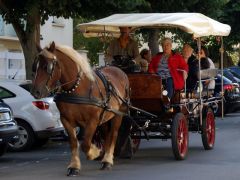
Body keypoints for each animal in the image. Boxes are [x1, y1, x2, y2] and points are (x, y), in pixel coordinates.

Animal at [31, 41, 130, 176]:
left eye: (48, 67)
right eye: (35, 66)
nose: (35, 92)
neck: (76, 88)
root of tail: (119, 70)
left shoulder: (92, 120)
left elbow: (85, 144)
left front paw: (94, 152)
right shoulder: (66, 120)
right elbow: (74, 143)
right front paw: (74, 166)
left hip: (118, 114)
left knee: (113, 134)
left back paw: (108, 160)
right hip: (105, 116)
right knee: (107, 135)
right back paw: (105, 158)